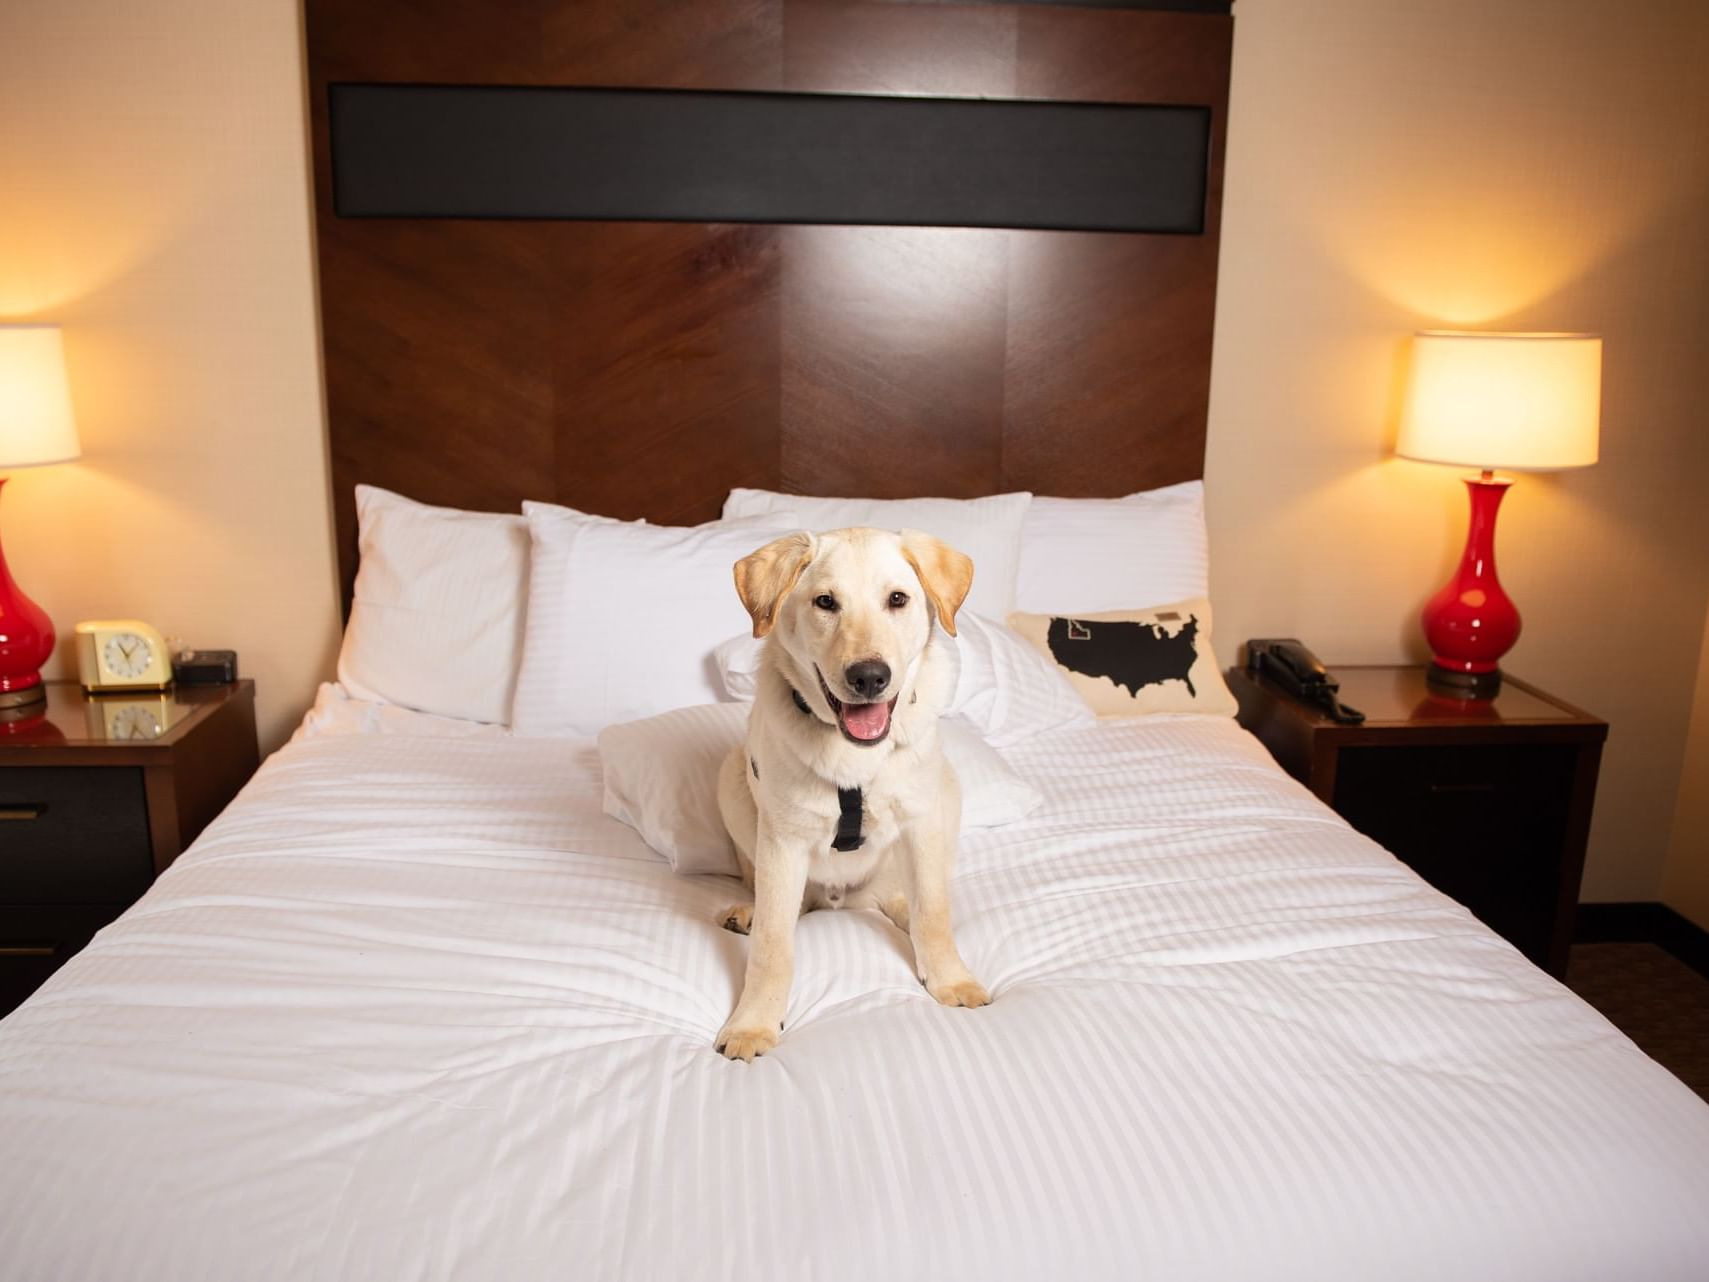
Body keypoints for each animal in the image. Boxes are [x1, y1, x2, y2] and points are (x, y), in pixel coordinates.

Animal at [714, 526, 991, 1059]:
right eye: (826, 602)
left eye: (897, 599)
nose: (869, 677)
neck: (855, 754)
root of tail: (843, 900)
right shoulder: (782, 842)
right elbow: (773, 944)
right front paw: (753, 1024)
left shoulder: (923, 822)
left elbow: (933, 912)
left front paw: (950, 979)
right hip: (731, 780)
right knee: (786, 902)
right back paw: (752, 912)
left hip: (948, 791)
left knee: (906, 898)